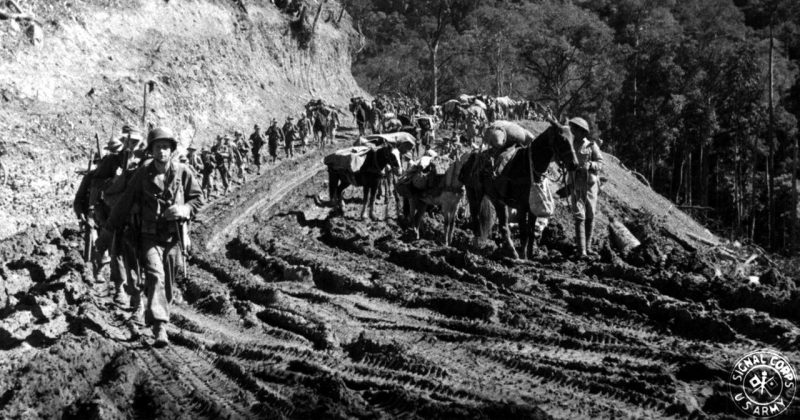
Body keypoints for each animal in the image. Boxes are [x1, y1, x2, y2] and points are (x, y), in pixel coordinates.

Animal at [460, 120, 580, 260]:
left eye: (573, 139)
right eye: (562, 139)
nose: (574, 164)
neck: (527, 166)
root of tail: (471, 156)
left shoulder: (532, 209)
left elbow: (531, 232)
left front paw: (530, 256)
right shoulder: (521, 207)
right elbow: (523, 232)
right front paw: (524, 257)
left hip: (497, 200)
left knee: (503, 225)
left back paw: (511, 251)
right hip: (473, 193)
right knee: (476, 217)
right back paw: (477, 245)